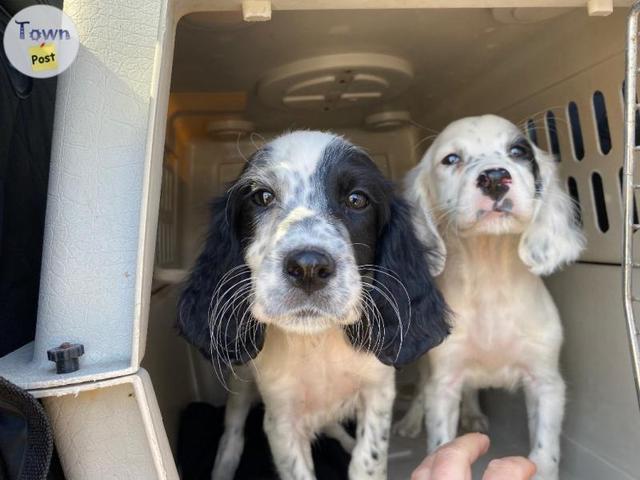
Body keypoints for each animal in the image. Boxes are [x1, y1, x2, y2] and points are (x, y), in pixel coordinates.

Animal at [176, 131, 450, 480]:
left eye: (357, 199)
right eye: (262, 197)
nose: (308, 267)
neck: (318, 341)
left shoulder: (378, 393)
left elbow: (367, 460)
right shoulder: (281, 419)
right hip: (242, 379)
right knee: (233, 430)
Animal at [396, 113, 584, 480]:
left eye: (518, 151)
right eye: (451, 159)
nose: (495, 178)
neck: (490, 276)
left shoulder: (547, 382)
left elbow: (545, 450)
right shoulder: (444, 380)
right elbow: (440, 440)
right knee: (423, 388)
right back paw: (410, 421)